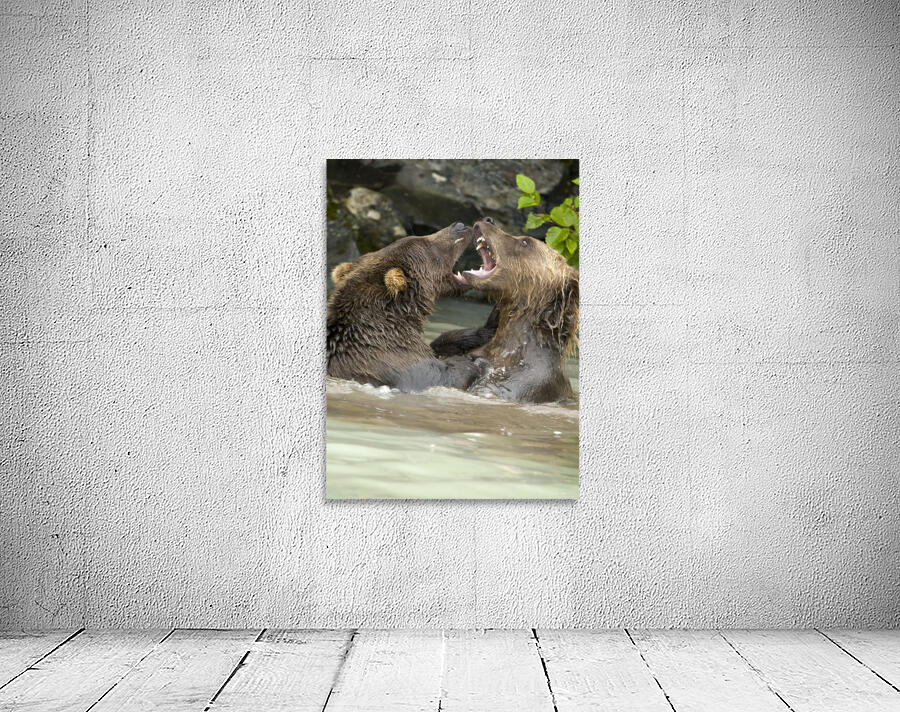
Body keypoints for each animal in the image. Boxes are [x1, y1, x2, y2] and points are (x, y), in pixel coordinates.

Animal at [327, 221, 485, 392]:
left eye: (421, 236)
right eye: (429, 245)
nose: (460, 226)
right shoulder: (398, 361)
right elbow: (443, 376)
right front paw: (470, 361)